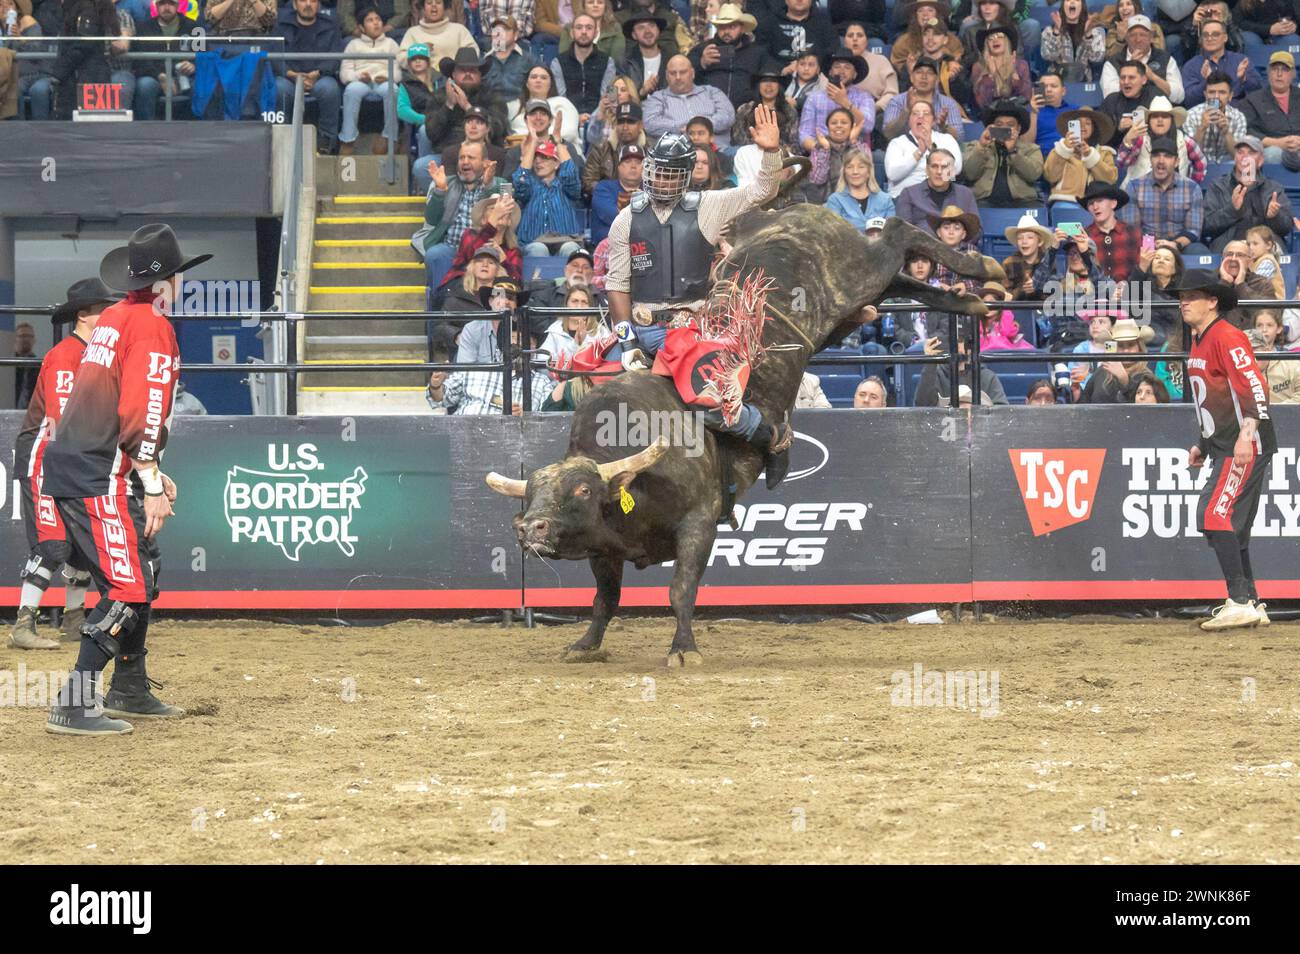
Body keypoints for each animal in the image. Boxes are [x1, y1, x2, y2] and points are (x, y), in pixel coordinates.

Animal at [483, 213, 998, 670]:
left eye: (582, 489)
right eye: (531, 494)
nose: (530, 528)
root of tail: (784, 215)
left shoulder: (699, 524)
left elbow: (680, 590)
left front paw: (684, 650)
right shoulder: (605, 550)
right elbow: (605, 600)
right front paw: (586, 645)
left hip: (858, 271)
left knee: (897, 233)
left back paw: (982, 270)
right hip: (850, 307)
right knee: (900, 280)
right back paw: (970, 302)